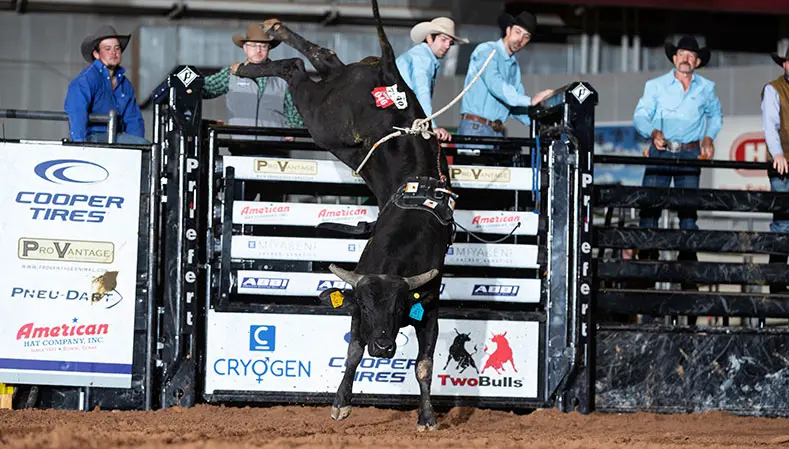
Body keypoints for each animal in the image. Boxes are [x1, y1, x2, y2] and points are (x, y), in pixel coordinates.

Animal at [232, 0, 455, 431]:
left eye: (399, 307)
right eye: (367, 307)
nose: (383, 346)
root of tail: (389, 73)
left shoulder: (430, 309)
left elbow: (423, 365)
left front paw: (426, 416)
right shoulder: (355, 306)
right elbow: (352, 352)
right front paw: (340, 403)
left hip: (331, 101)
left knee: (324, 58)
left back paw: (274, 32)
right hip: (324, 119)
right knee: (296, 69)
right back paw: (251, 63)